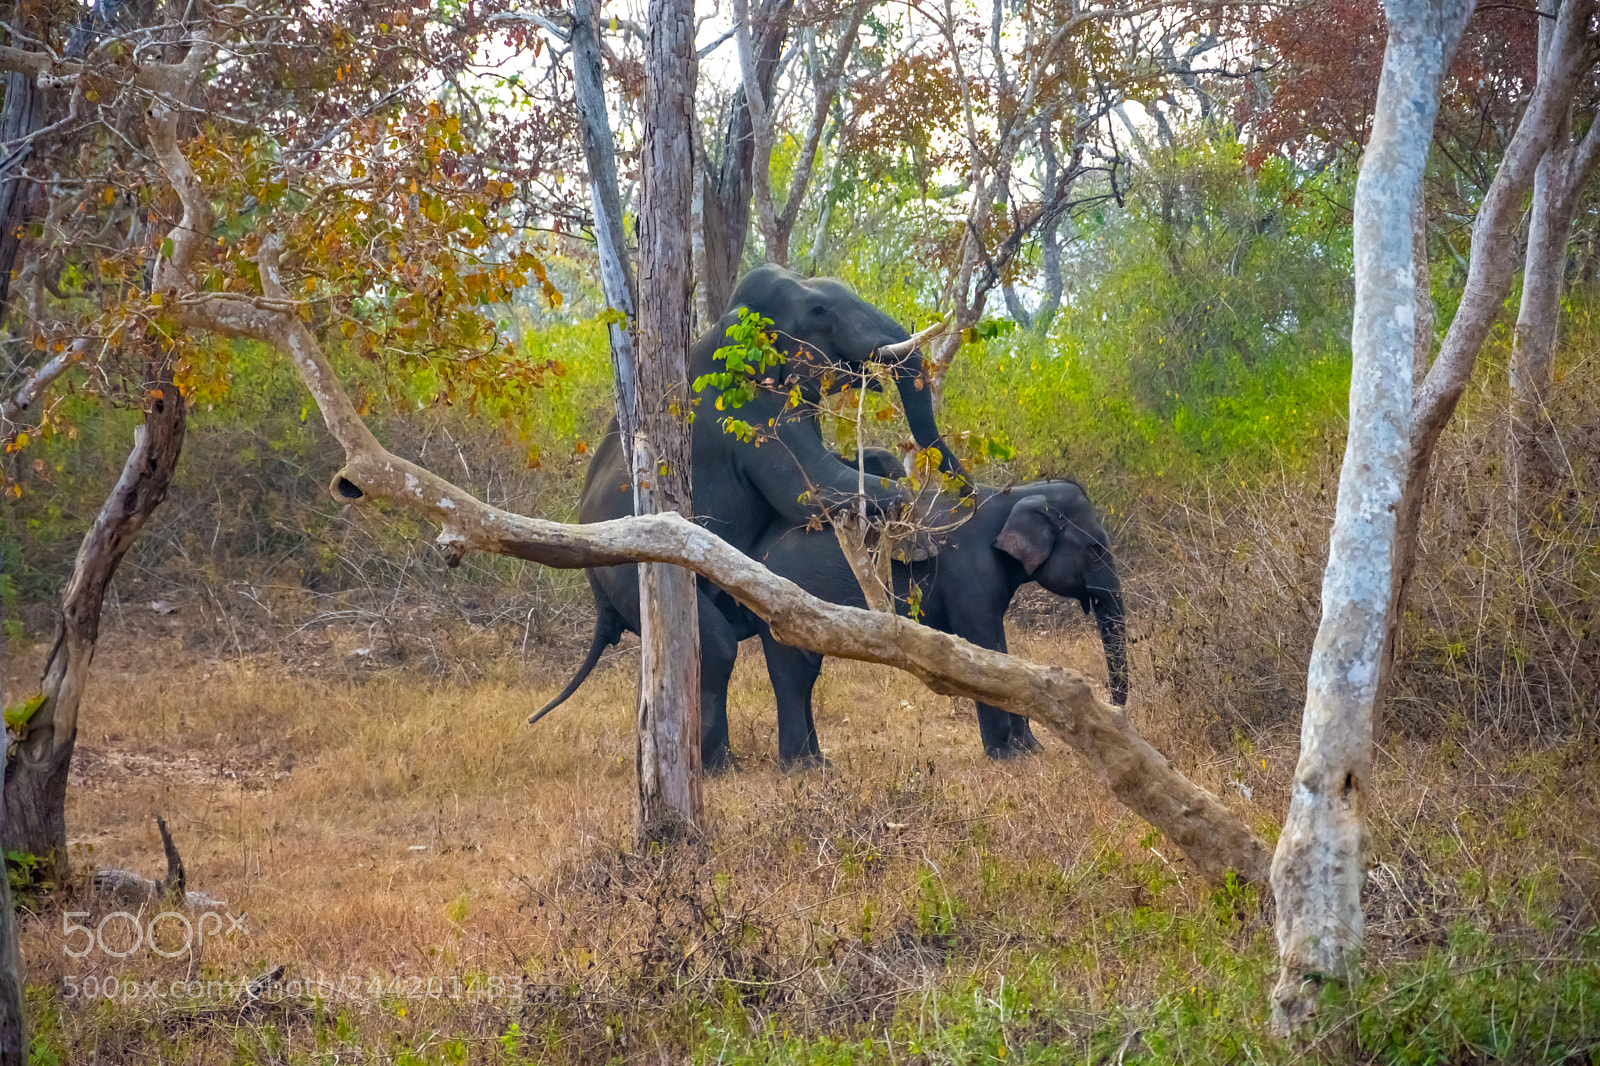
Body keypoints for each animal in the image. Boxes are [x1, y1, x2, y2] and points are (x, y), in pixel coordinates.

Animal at [532, 266, 968, 770]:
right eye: (819, 310)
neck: (732, 321)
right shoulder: (749, 411)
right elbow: (813, 490)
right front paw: (918, 538)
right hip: (627, 570)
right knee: (715, 647)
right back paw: (719, 767)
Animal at [749, 470, 1129, 764]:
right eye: (1095, 548)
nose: (1115, 710)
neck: (1019, 494)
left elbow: (999, 652)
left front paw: (1031, 750)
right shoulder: (968, 571)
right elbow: (984, 643)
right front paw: (1009, 757)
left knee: (805, 676)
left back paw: (818, 763)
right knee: (794, 676)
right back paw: (804, 769)